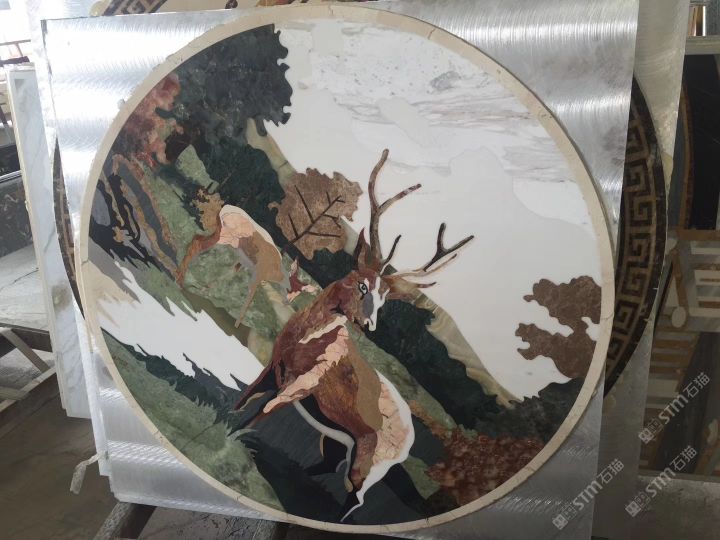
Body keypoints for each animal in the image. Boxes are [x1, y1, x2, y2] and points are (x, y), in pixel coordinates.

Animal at [234, 149, 474, 520]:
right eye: (362, 284)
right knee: (329, 466)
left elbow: (261, 413)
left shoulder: (301, 384)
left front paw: (232, 442)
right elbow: (245, 400)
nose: (370, 324)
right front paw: (226, 427)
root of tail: (410, 441)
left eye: (385, 299)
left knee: (356, 495)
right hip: (335, 441)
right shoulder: (273, 367)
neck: (304, 342)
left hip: (370, 461)